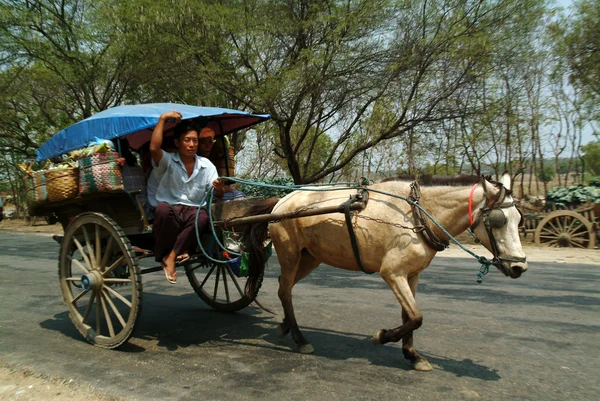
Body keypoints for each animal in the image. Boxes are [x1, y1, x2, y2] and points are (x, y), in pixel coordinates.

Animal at [241, 173, 528, 370]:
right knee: (284, 290)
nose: (519, 266)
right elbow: (416, 317)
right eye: (498, 221)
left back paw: (286, 326)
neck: (416, 215)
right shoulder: (392, 273)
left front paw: (412, 355)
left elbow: (408, 315)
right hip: (289, 253)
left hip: (310, 257)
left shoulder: (411, 274)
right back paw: (300, 339)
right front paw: (382, 336)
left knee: (284, 286)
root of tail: (282, 201)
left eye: (519, 219)